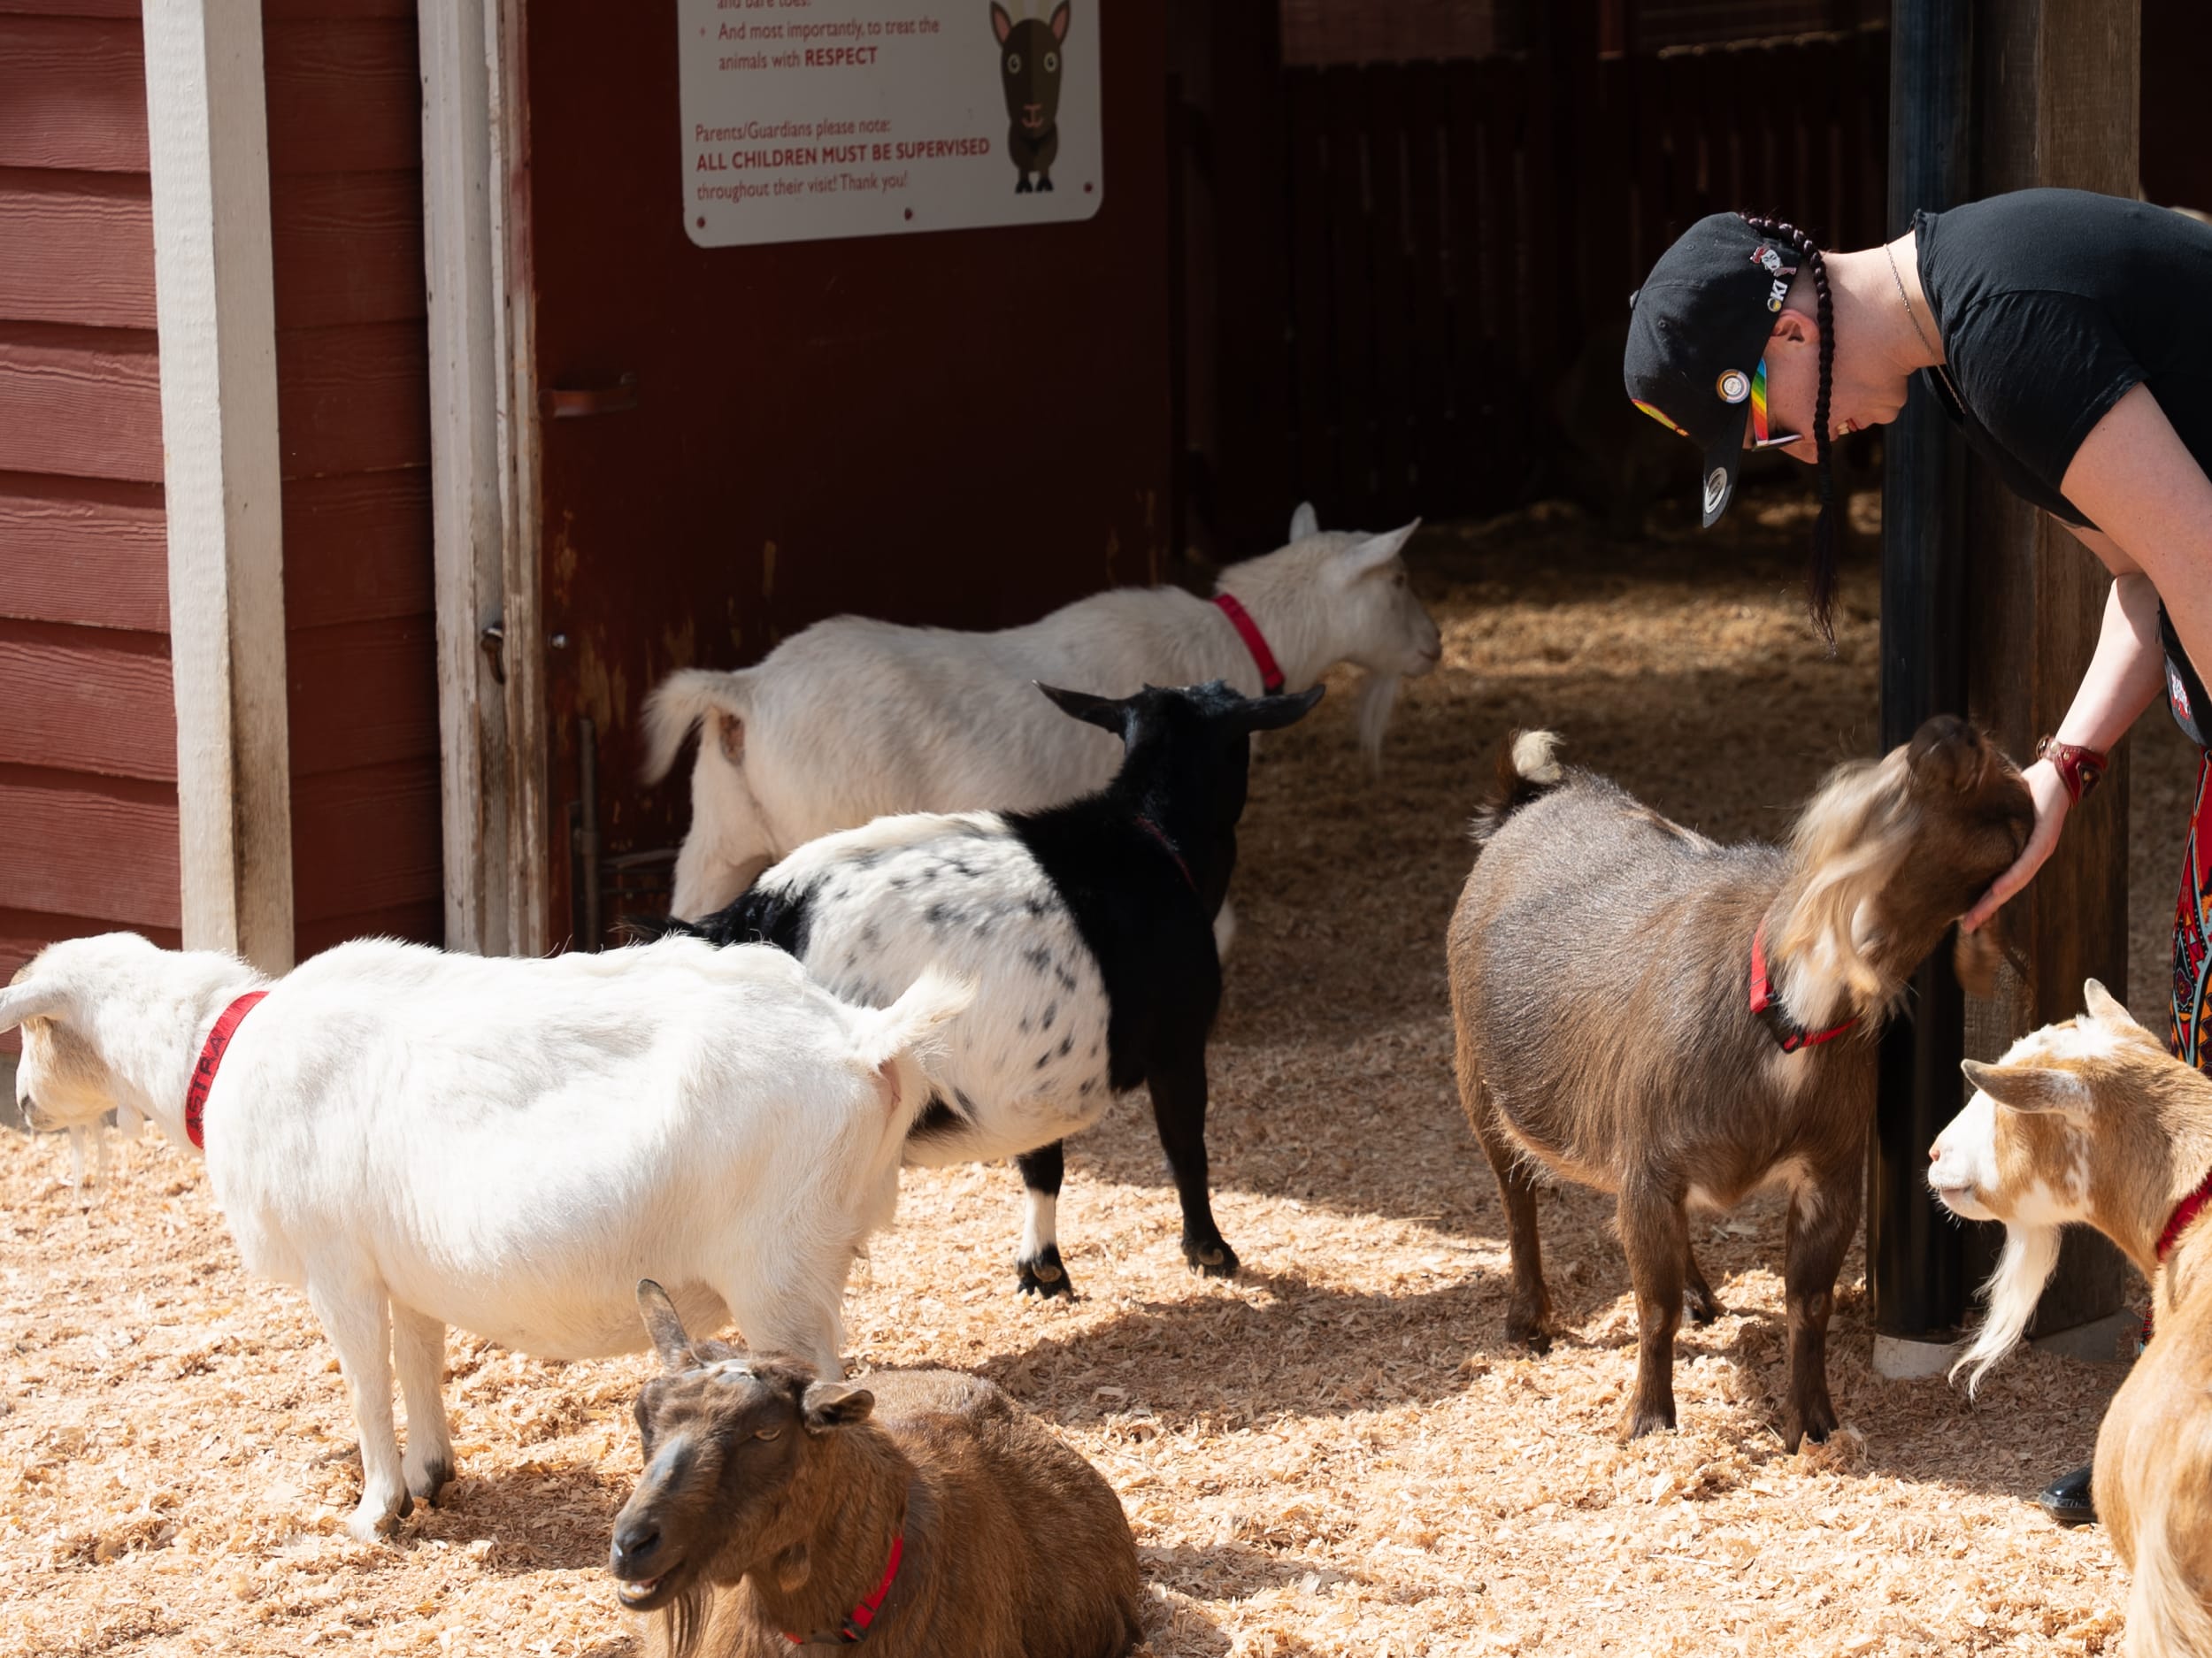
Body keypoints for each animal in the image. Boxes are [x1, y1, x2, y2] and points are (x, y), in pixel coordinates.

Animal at [646, 680, 1318, 1309]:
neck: (1151, 838)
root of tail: (753, 917)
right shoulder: (1177, 1043)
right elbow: (1185, 1146)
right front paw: (1210, 1251)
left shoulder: (1034, 1079)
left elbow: (1043, 1165)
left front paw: (1043, 1271)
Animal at [1442, 720, 2026, 1450]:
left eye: (2012, 811)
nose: (1953, 731)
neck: (1789, 1013)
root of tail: (1525, 801)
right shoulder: (1646, 1167)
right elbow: (1653, 1305)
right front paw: (1648, 1421)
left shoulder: (1831, 1172)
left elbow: (1808, 1303)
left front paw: (1813, 1426)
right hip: (1478, 1077)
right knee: (1515, 1196)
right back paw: (1529, 1322)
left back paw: (1702, 1294)